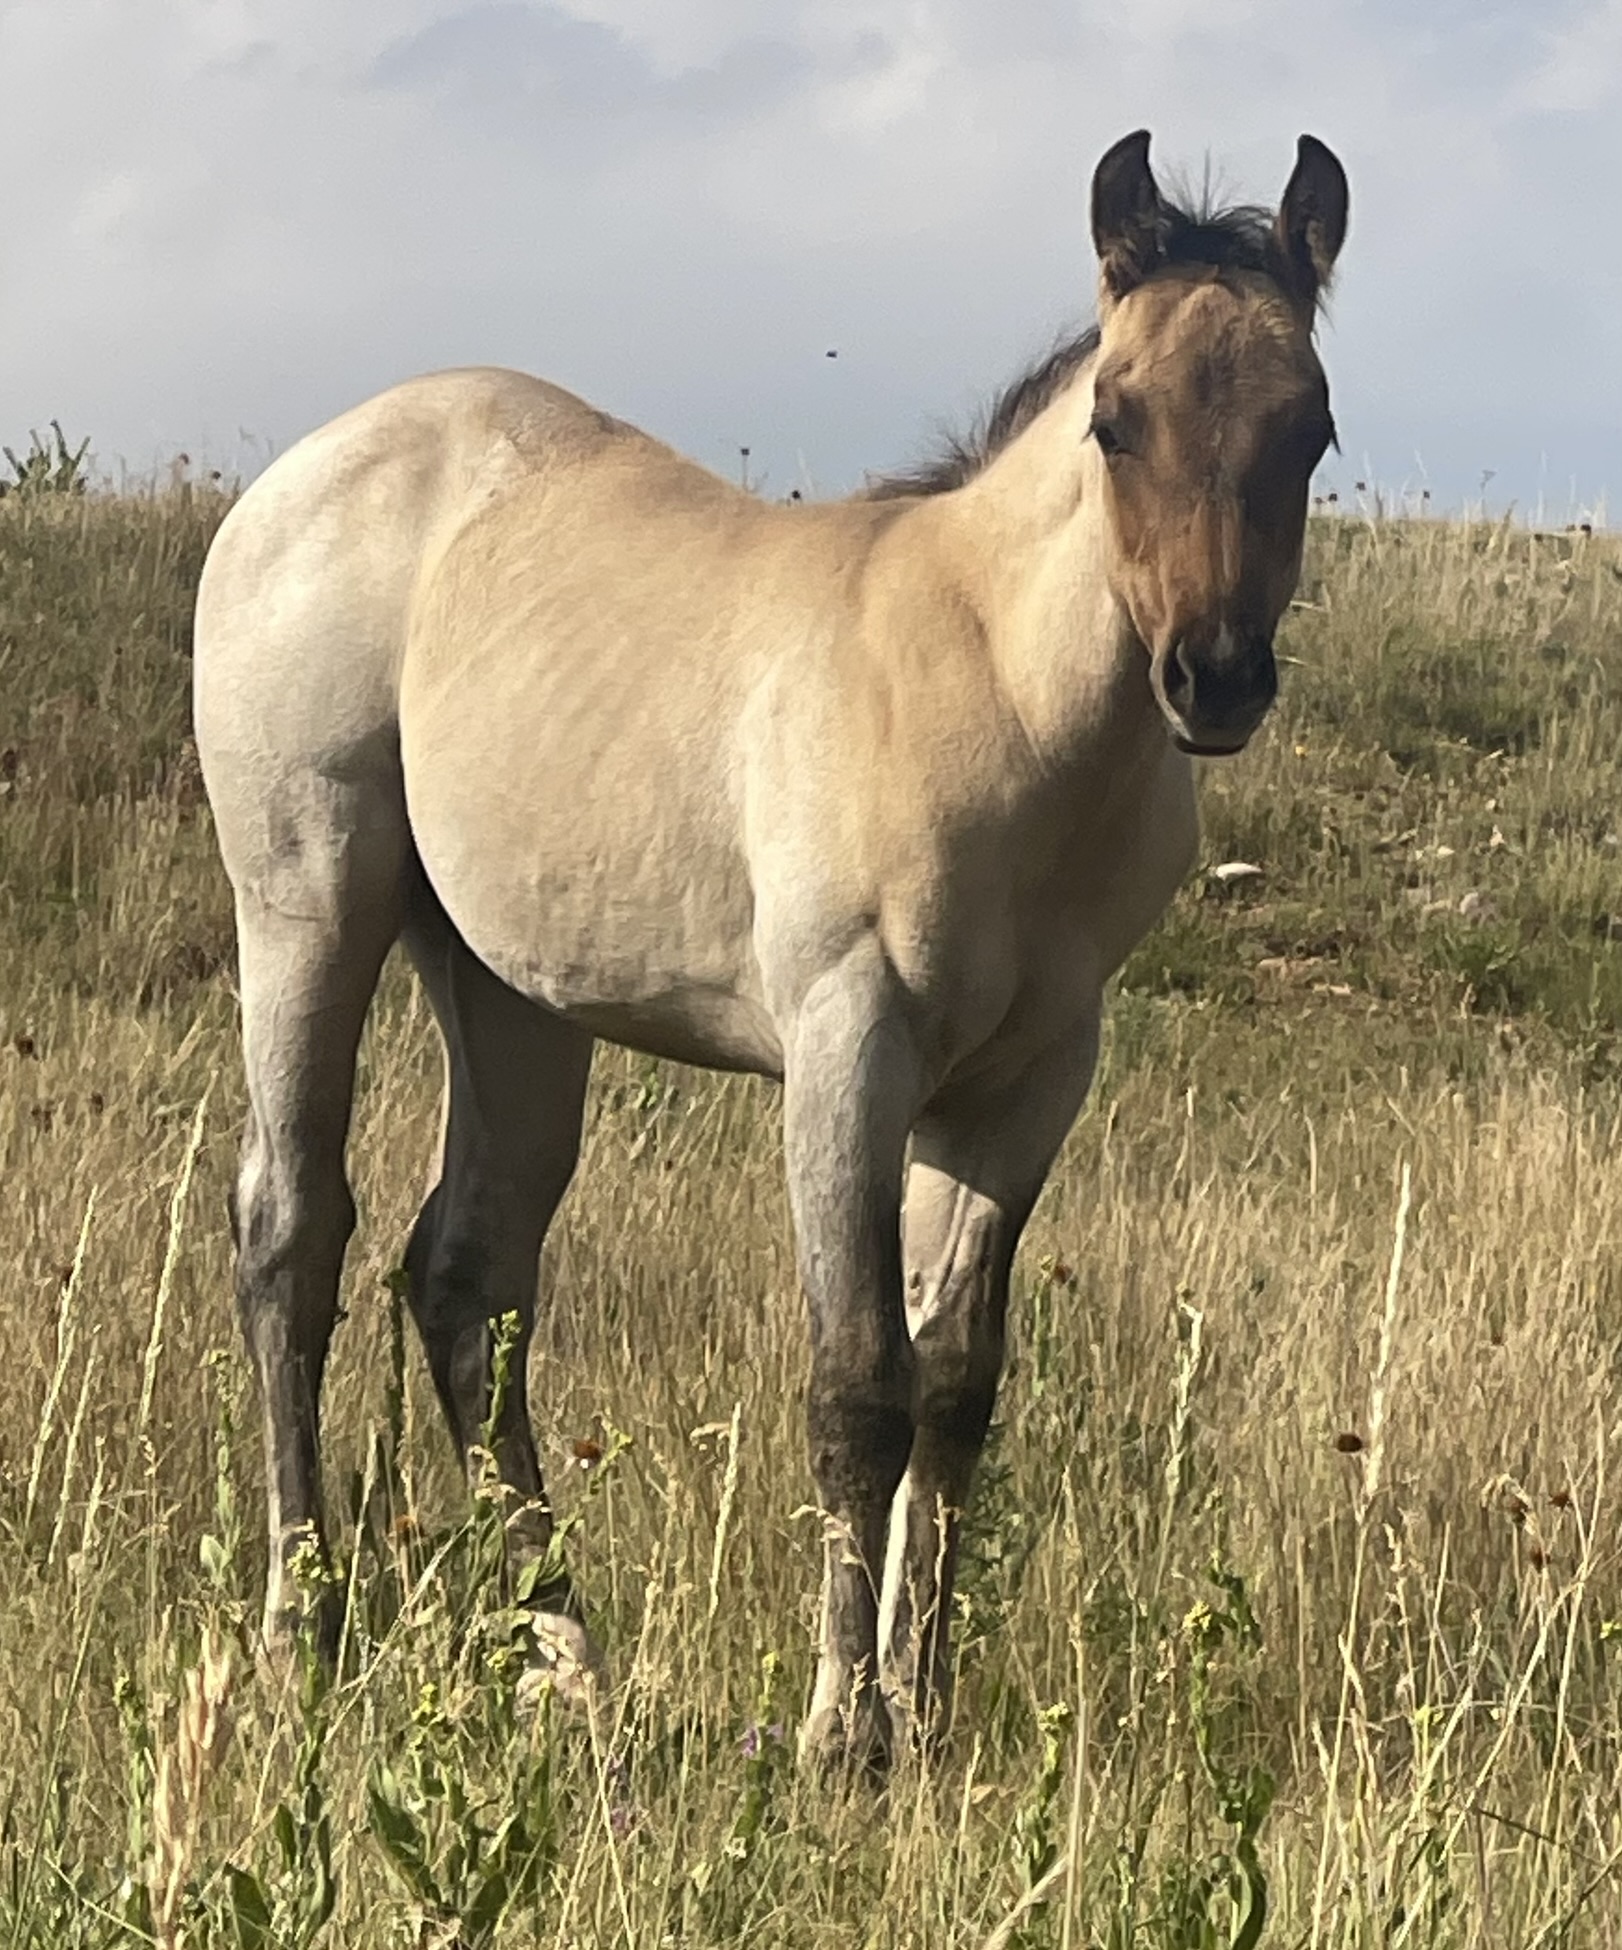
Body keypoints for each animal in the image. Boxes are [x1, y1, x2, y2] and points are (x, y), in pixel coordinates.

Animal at [196, 121, 1349, 1770]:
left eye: (1308, 428)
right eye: (1114, 422)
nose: (1213, 676)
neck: (992, 690)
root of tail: (292, 480)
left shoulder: (1026, 1082)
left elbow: (956, 1384)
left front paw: (922, 1709)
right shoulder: (846, 1049)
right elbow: (857, 1385)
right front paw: (840, 1730)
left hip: (514, 994)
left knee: (467, 1277)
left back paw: (568, 1661)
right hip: (307, 902)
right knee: (295, 1234)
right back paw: (305, 1630)